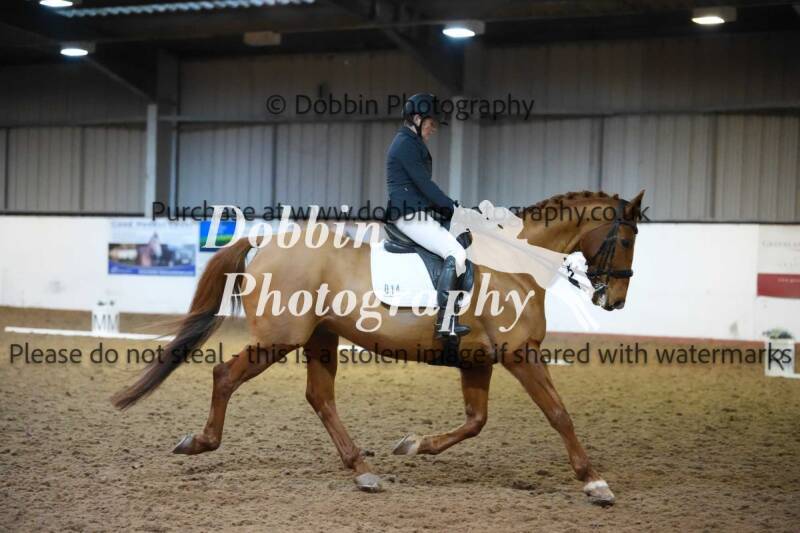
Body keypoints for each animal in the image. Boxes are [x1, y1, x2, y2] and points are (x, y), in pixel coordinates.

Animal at [111, 190, 644, 506]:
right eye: (628, 238)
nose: (615, 300)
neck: (514, 266)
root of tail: (264, 243)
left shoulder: (478, 362)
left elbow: (475, 422)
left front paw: (413, 444)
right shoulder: (520, 354)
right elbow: (559, 414)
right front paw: (594, 481)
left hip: (321, 337)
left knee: (320, 398)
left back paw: (363, 469)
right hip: (279, 339)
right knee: (225, 376)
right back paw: (201, 442)